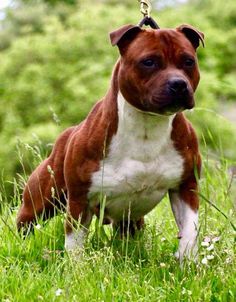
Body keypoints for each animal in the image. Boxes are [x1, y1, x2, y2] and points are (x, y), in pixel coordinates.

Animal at [17, 23, 204, 262]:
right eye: (149, 62)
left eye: (188, 61)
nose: (179, 84)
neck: (147, 126)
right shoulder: (80, 201)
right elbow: (75, 244)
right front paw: (77, 269)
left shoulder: (186, 187)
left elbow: (190, 230)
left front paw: (187, 261)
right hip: (40, 202)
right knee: (25, 224)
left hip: (130, 221)